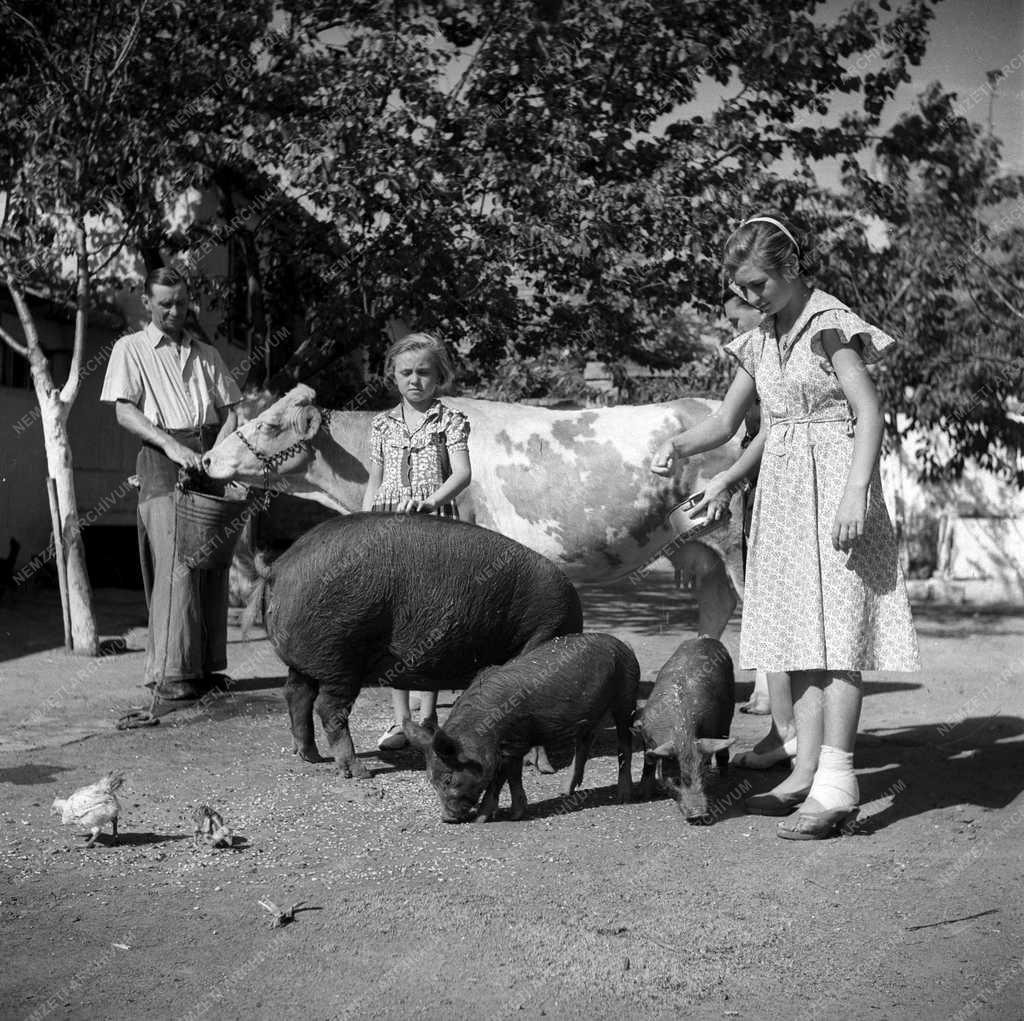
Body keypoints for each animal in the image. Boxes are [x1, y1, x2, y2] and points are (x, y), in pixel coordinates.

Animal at [256, 514, 585, 778]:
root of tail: (279, 566)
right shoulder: (538, 639)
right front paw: (547, 769)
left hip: (309, 660)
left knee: (296, 694)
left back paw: (310, 756)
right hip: (340, 655)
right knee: (328, 708)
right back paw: (358, 773)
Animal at [401, 639, 634, 819]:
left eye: (448, 779)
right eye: (430, 780)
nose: (446, 818)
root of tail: (623, 645)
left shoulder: (512, 744)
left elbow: (499, 778)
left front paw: (482, 818)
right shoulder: (514, 746)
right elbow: (513, 776)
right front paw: (515, 814)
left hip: (625, 698)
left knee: (624, 744)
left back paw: (624, 797)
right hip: (591, 716)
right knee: (584, 744)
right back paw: (563, 792)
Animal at [634, 639, 733, 819]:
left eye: (702, 775)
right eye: (677, 779)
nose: (698, 814)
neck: (683, 735)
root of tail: (706, 638)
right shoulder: (645, 730)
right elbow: (648, 761)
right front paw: (643, 795)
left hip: (727, 715)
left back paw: (724, 777)